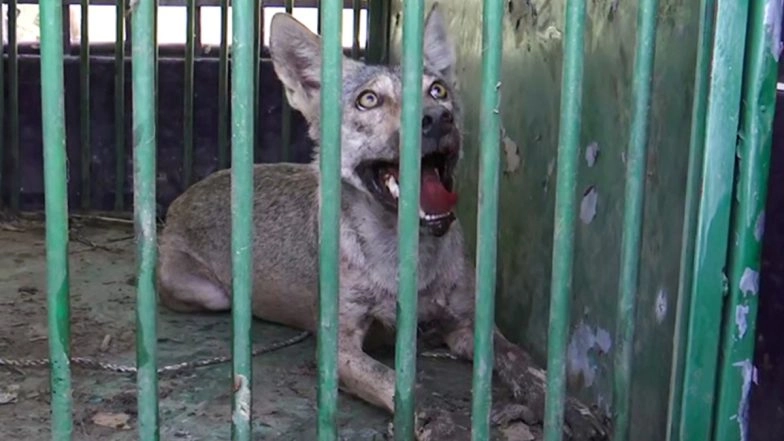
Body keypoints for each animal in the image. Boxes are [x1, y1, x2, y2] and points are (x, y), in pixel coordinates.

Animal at [155, 4, 608, 440]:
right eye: (369, 100)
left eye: (438, 90)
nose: (437, 118)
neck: (406, 256)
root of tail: (183, 198)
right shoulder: (340, 349)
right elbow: (403, 385)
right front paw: (441, 423)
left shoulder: (470, 326)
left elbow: (524, 363)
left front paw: (567, 408)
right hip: (213, 295)